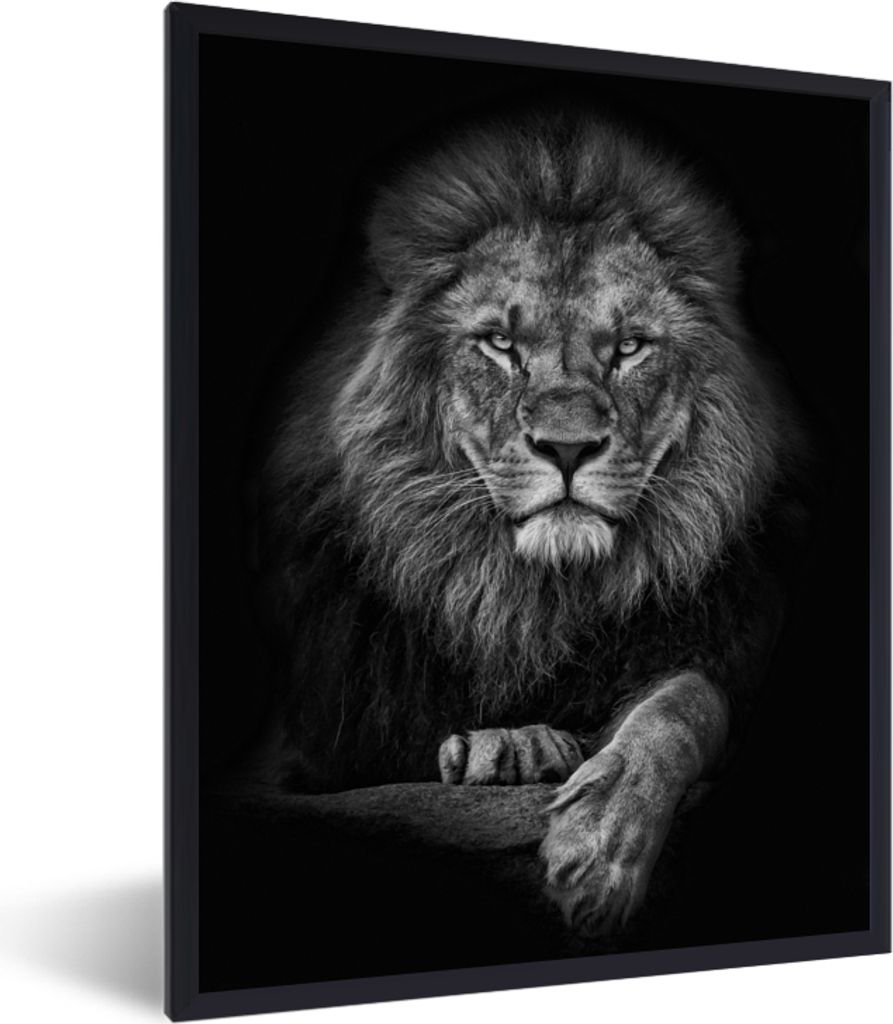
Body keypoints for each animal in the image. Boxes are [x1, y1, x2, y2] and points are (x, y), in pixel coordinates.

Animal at [254, 105, 811, 938]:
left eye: (629, 347)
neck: (530, 599)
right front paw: (509, 751)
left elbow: (684, 702)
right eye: (499, 343)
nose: (568, 446)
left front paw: (599, 843)